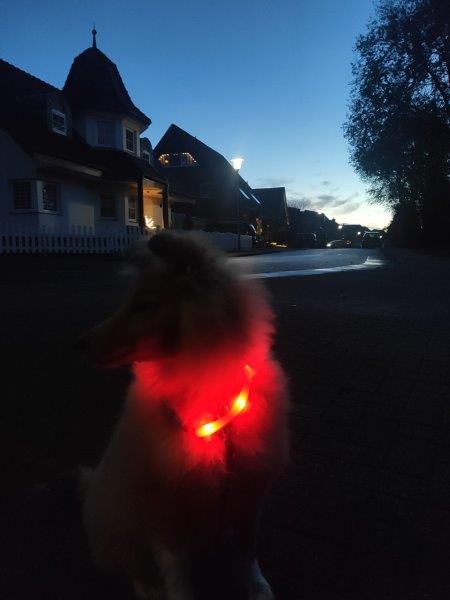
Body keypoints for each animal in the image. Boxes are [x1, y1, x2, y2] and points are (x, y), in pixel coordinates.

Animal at [78, 231, 289, 599]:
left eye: (145, 306)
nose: (81, 343)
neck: (207, 388)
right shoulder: (165, 507)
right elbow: (178, 578)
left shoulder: (248, 493)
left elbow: (247, 550)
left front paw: (257, 587)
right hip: (118, 522)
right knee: (135, 568)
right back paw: (149, 589)